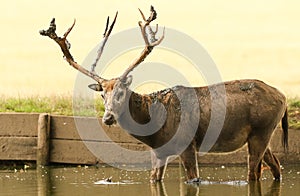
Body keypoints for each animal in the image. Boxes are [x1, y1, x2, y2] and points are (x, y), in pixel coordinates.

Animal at [39, 6, 288, 184]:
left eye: (121, 91)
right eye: (102, 95)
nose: (107, 117)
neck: (157, 125)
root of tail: (283, 97)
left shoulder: (187, 143)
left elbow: (194, 179)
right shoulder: (158, 152)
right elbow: (154, 180)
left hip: (261, 130)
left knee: (255, 173)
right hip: (261, 136)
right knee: (276, 166)